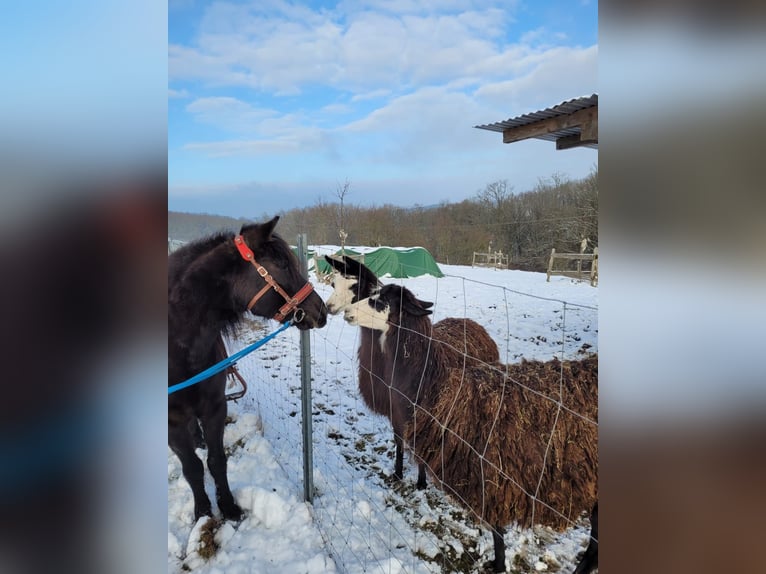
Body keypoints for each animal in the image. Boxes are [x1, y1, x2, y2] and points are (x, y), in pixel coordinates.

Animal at [168, 216, 327, 521]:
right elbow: (192, 467)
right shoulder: (172, 422)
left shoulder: (215, 407)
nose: (321, 310)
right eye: (283, 264)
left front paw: (229, 507)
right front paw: (203, 511)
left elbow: (217, 461)